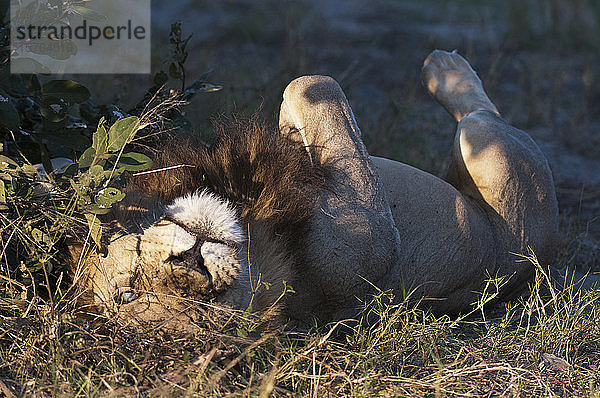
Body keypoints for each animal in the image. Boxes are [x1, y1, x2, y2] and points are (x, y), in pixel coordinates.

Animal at [71, 50, 564, 330]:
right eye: (130, 295)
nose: (189, 263)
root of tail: (541, 259)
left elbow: (300, 105)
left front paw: (288, 136)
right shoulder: (371, 233)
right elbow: (311, 86)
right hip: (494, 152)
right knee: (480, 113)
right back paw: (446, 68)